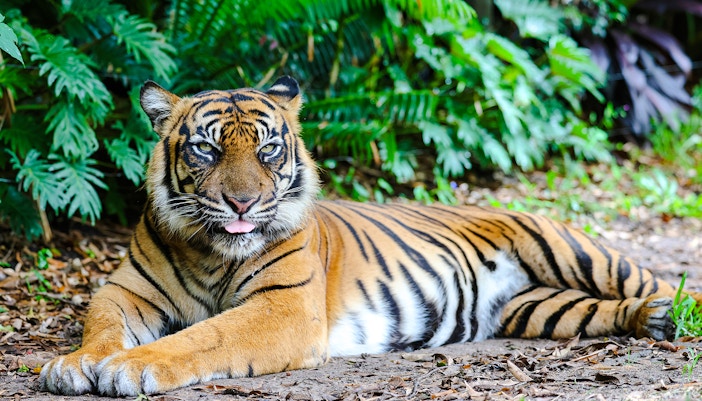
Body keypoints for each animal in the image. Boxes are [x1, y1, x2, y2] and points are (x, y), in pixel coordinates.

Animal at [40, 76, 702, 396]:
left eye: (267, 148)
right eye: (206, 148)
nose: (243, 201)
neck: (211, 252)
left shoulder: (284, 308)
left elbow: (205, 336)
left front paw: (131, 368)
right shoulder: (126, 292)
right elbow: (102, 327)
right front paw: (74, 365)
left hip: (571, 248)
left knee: (652, 278)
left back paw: (671, 313)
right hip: (539, 308)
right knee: (600, 310)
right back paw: (651, 320)